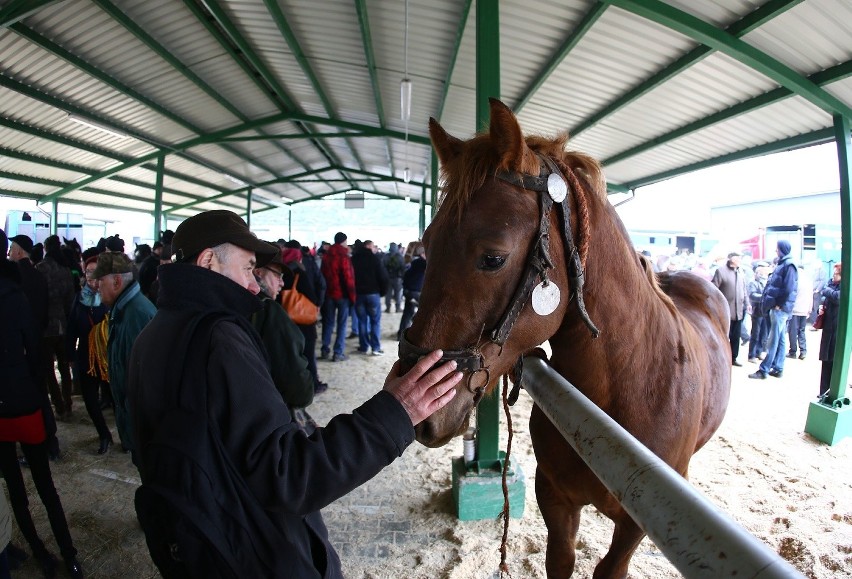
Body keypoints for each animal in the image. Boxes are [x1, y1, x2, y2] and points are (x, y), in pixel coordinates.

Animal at [402, 101, 732, 579]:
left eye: (493, 258)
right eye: (427, 244)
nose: (420, 410)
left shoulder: (632, 530)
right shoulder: (554, 497)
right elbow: (560, 559)